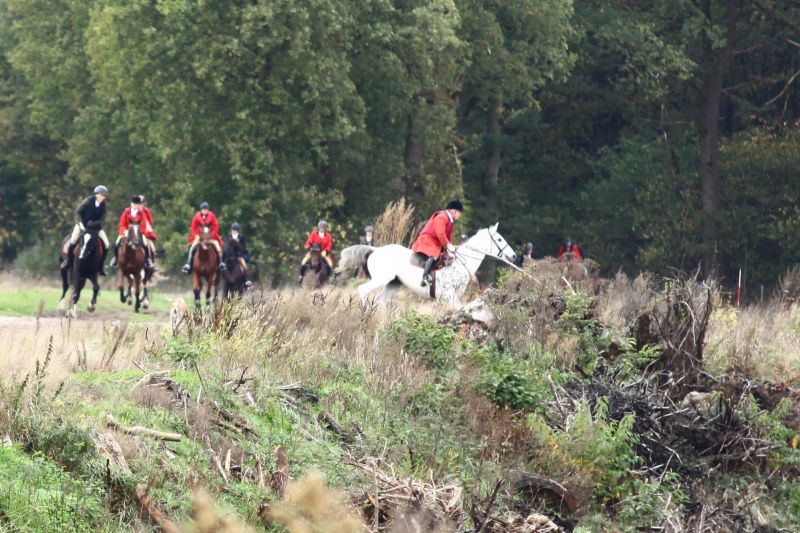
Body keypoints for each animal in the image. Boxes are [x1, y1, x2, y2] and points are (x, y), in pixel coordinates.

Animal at [343, 224, 516, 307]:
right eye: (499, 239)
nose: (513, 256)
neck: (460, 263)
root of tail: (375, 249)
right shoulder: (449, 295)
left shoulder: (449, 298)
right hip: (382, 278)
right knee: (363, 290)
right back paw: (366, 310)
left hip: (394, 284)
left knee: (380, 301)